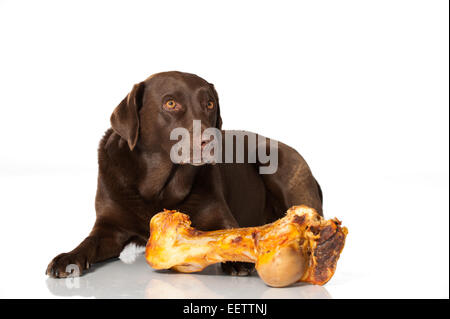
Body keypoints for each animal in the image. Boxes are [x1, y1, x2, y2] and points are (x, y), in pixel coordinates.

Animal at [46, 72, 324, 278]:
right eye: (170, 103)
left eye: (210, 104)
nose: (210, 140)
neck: (158, 188)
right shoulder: (109, 228)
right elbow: (88, 242)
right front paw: (68, 258)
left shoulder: (221, 217)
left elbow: (230, 234)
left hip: (279, 163)